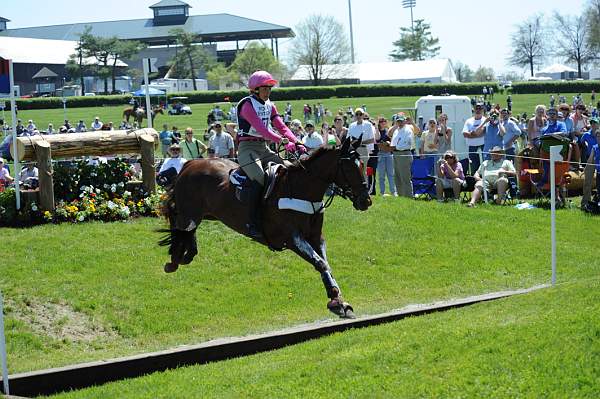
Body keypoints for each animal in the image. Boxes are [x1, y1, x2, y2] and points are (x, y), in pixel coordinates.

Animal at [162, 138, 372, 318]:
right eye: (349, 167)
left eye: (361, 164)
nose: (366, 201)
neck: (301, 189)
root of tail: (190, 164)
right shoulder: (290, 237)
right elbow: (320, 262)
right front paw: (336, 300)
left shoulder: (315, 237)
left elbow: (325, 263)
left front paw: (338, 301)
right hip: (188, 212)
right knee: (178, 224)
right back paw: (174, 259)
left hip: (206, 214)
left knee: (188, 229)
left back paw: (188, 253)